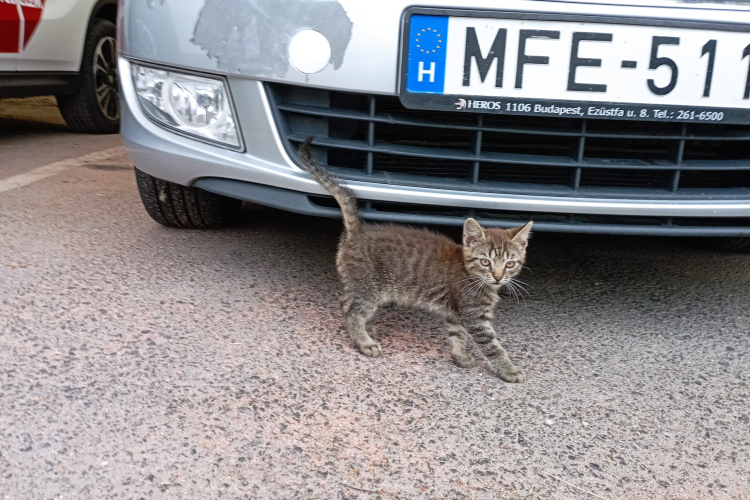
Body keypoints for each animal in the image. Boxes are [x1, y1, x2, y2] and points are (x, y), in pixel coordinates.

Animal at [300, 138, 536, 382]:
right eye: (486, 262)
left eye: (510, 264)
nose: (498, 277)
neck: (472, 275)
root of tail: (359, 231)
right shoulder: (474, 315)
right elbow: (492, 346)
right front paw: (508, 369)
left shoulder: (456, 313)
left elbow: (457, 335)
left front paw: (460, 357)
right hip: (370, 288)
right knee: (353, 313)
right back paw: (364, 341)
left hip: (359, 283)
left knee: (345, 301)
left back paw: (368, 327)